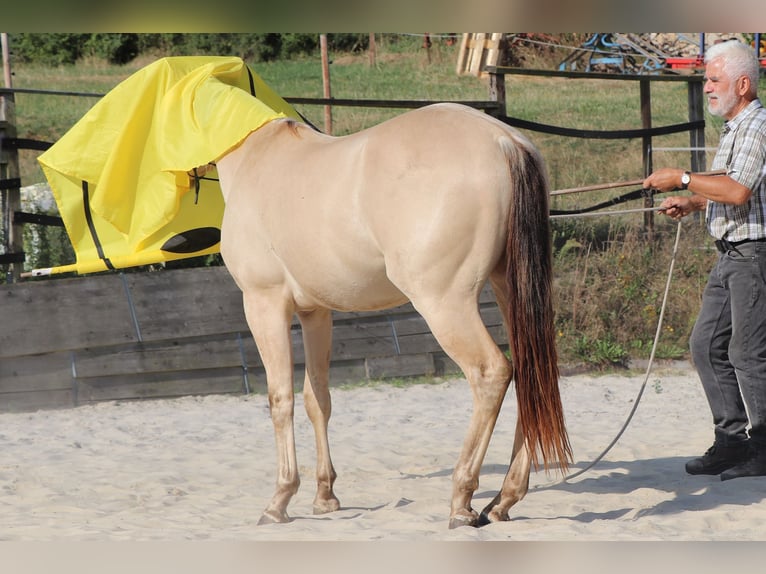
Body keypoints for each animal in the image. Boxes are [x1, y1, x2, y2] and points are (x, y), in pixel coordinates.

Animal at [214, 101, 568, 528]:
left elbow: (279, 399)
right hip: (509, 292)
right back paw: (503, 500)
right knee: (532, 376)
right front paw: (325, 496)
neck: (255, 156)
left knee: (492, 373)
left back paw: (462, 499)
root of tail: (504, 140)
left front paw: (279, 499)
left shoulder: (264, 304)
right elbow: (318, 398)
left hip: (444, 303)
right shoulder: (316, 312)